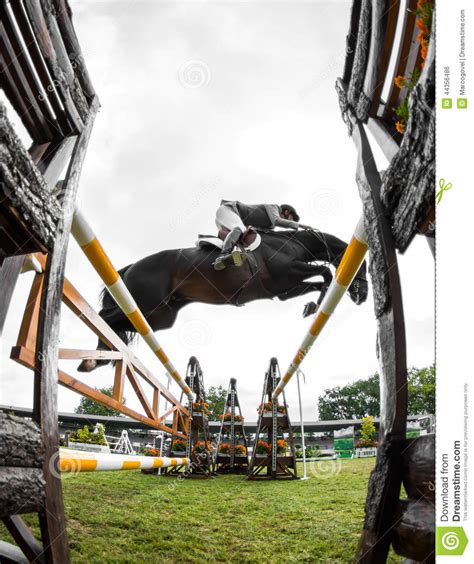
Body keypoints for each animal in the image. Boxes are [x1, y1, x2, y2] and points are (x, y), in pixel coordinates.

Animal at [78, 227, 368, 372]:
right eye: (363, 266)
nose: (362, 296)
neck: (291, 243)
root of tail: (132, 267)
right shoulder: (287, 274)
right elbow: (326, 273)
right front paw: (315, 305)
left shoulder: (284, 289)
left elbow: (320, 280)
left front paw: (311, 306)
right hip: (147, 304)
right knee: (104, 317)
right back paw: (95, 356)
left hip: (158, 316)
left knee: (120, 325)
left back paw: (101, 357)